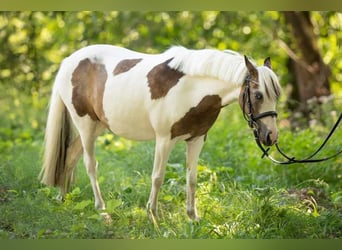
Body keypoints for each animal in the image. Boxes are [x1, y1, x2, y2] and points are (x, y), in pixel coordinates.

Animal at [39, 45, 280, 221]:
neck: (191, 89)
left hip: (97, 126)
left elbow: (192, 178)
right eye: (258, 95)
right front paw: (153, 216)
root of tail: (69, 60)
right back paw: (102, 210)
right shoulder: (165, 139)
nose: (271, 136)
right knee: (90, 165)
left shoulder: (197, 139)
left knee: (69, 157)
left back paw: (64, 199)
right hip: (86, 125)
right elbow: (157, 177)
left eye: (276, 95)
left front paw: (193, 217)